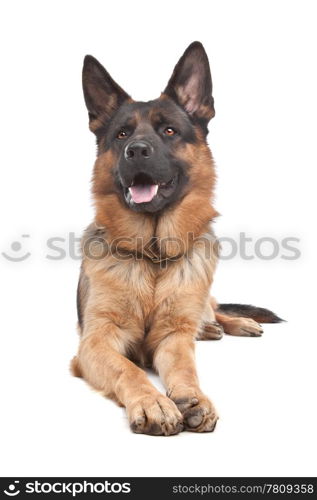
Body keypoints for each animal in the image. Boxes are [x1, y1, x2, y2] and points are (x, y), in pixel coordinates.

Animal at [71, 42, 278, 434]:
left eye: (169, 130)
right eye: (121, 135)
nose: (136, 150)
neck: (153, 255)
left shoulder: (172, 339)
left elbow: (185, 368)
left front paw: (192, 397)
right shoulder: (96, 342)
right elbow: (129, 368)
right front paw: (153, 401)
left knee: (213, 307)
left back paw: (232, 323)